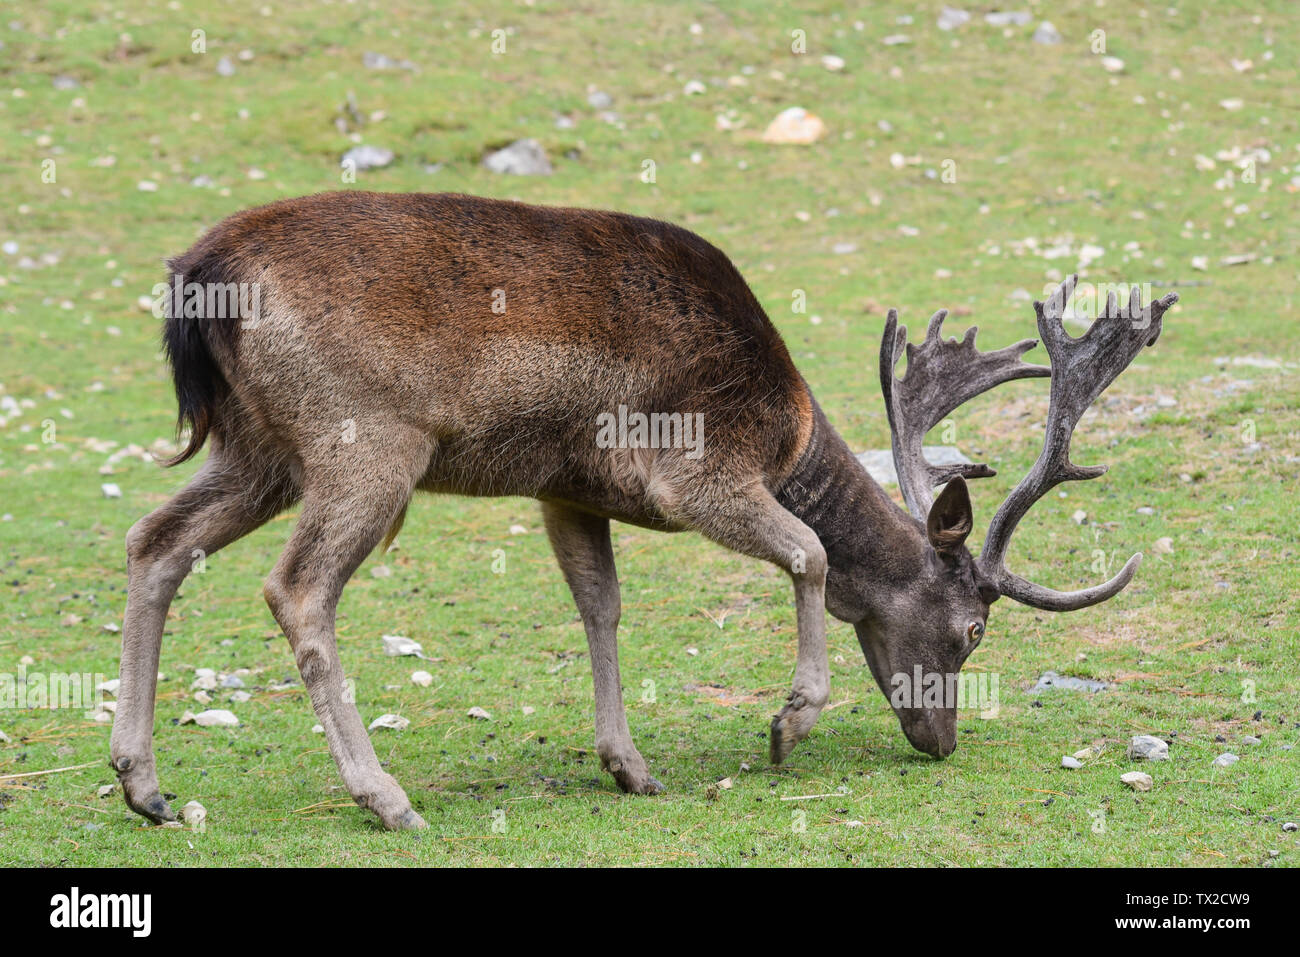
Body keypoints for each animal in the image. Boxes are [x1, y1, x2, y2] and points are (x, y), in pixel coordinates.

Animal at [112, 191, 1177, 830]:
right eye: (971, 631)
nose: (942, 741)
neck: (786, 431)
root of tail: (199, 277)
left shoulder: (567, 488)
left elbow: (601, 605)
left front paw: (628, 763)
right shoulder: (689, 466)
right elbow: (808, 552)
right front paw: (788, 725)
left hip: (257, 448)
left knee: (152, 540)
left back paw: (145, 784)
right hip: (363, 441)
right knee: (296, 590)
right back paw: (385, 795)